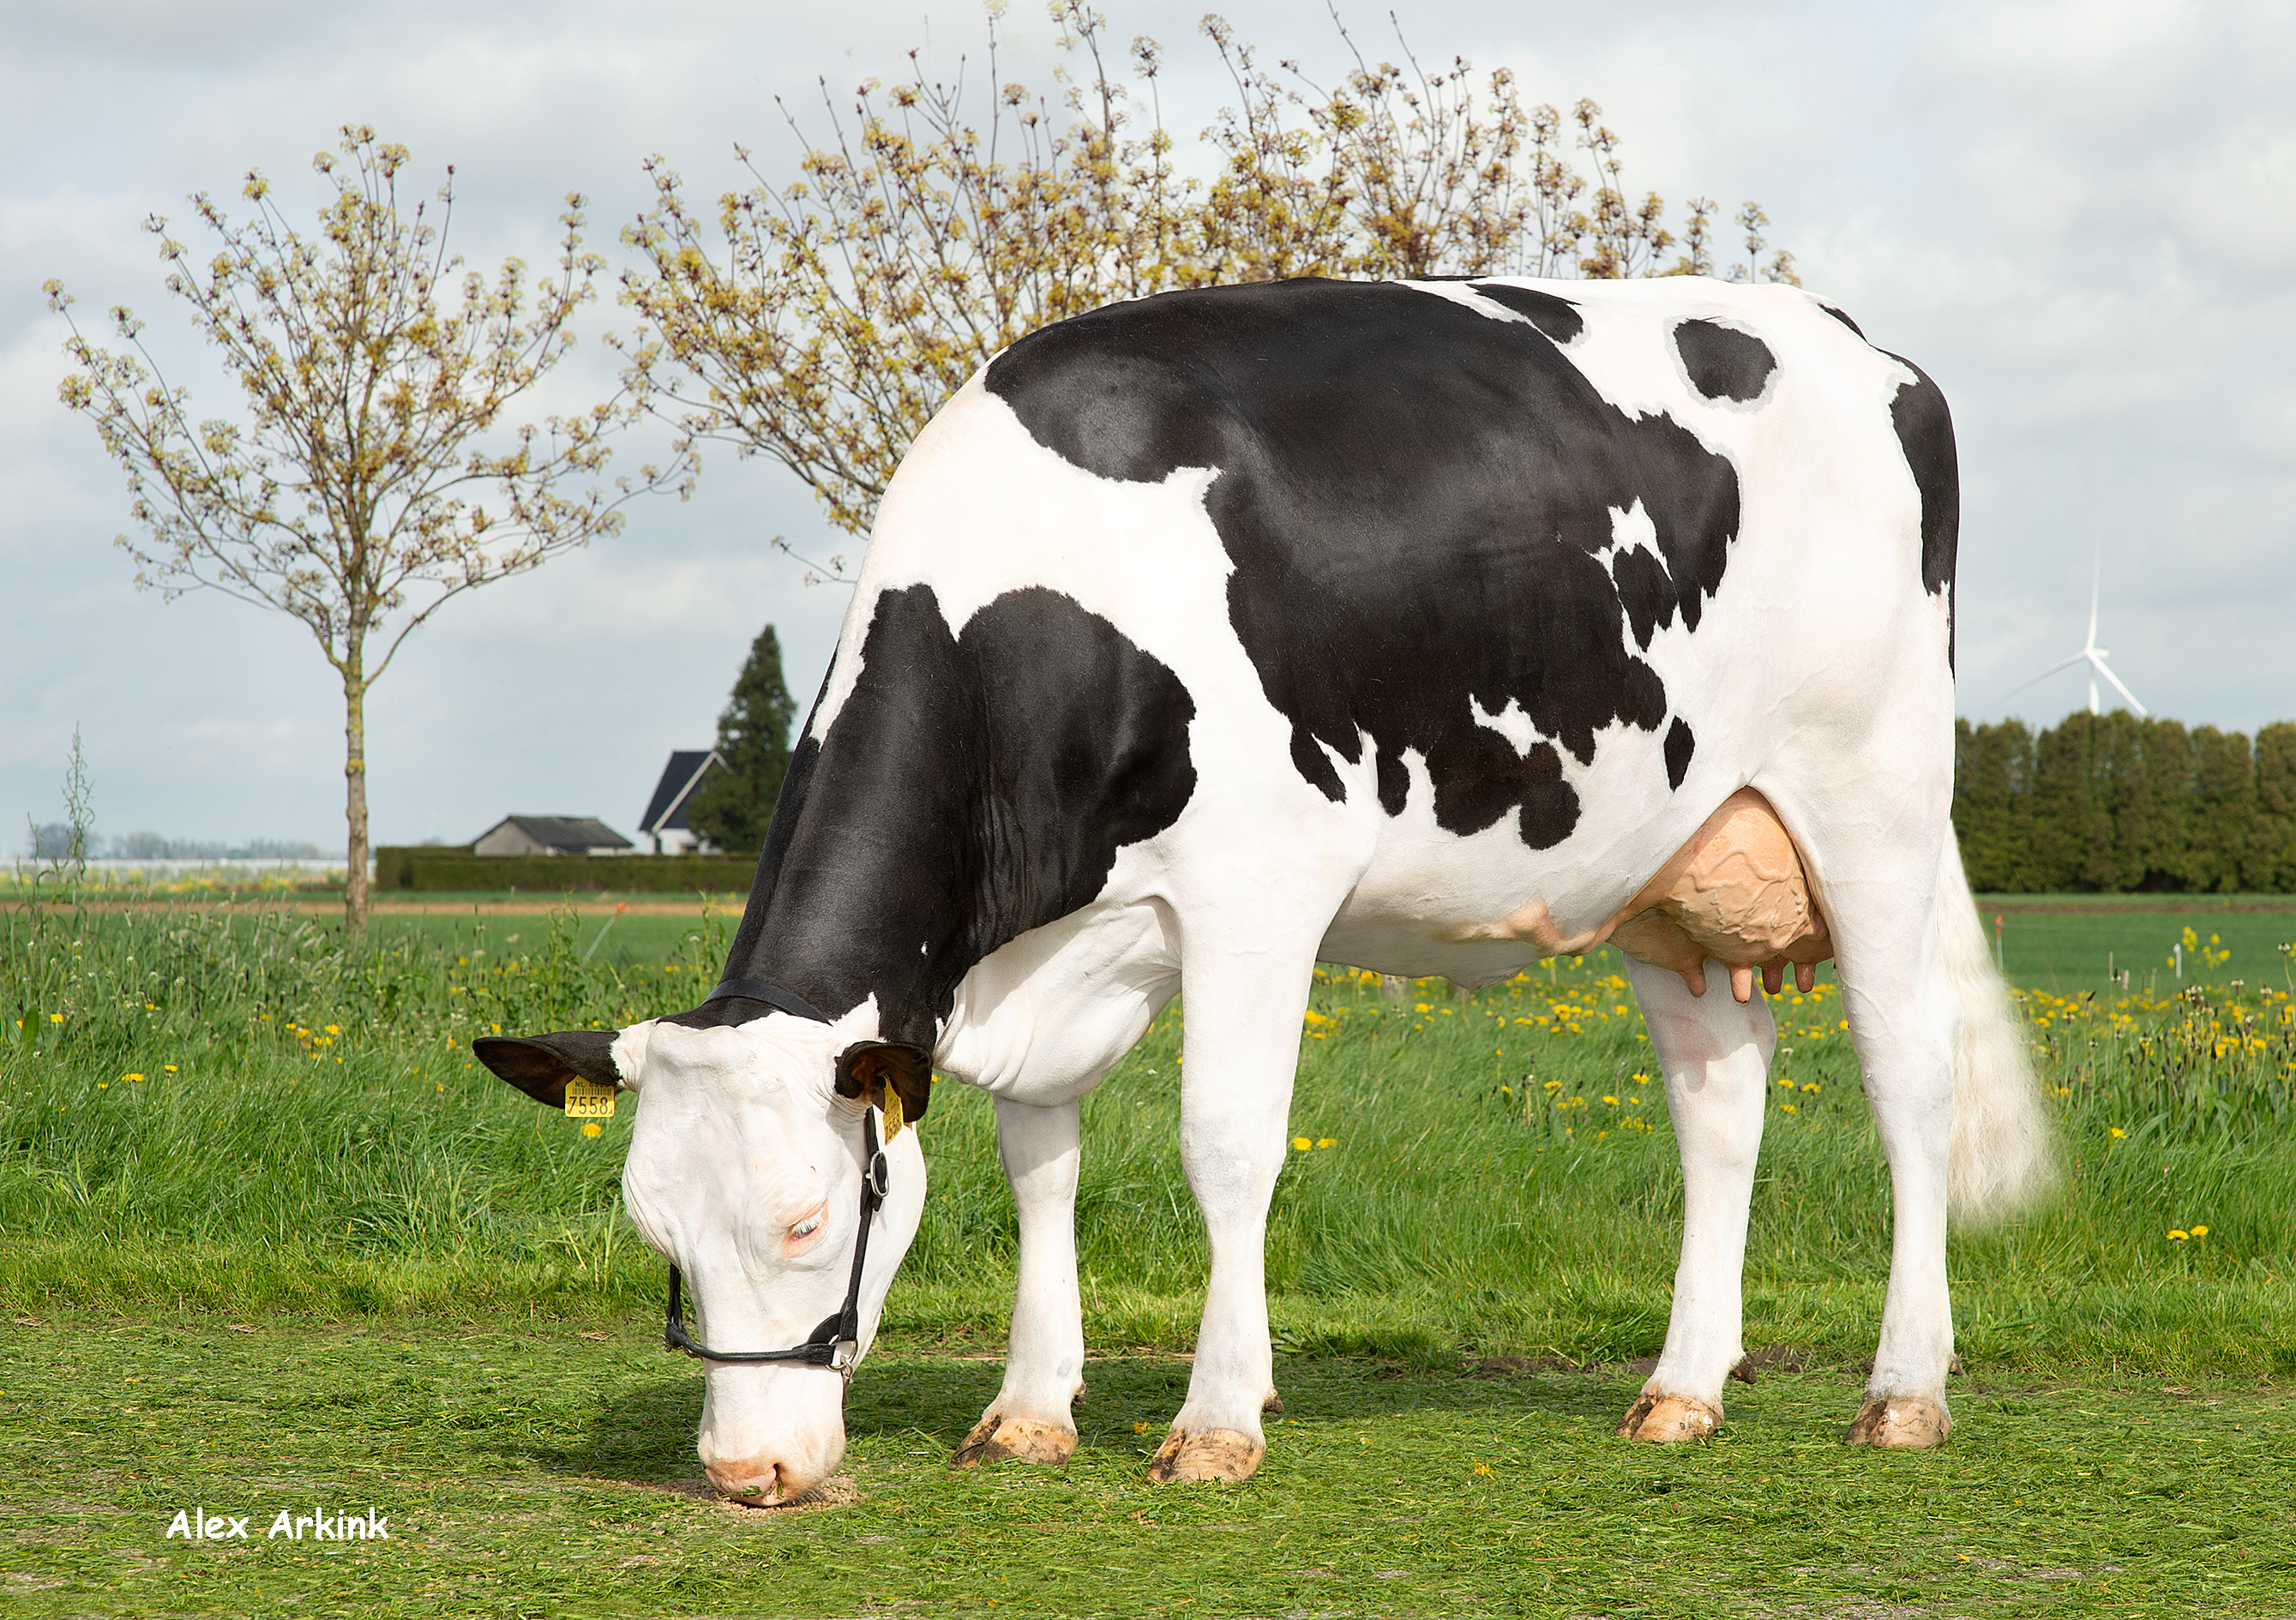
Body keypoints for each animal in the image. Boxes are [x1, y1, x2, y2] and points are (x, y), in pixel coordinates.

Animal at [475, 273, 2057, 1505]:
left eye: (808, 1222)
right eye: (655, 1230)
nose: (747, 1472)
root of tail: (1852, 339)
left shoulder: (1256, 895)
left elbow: (1224, 1146)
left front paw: (1217, 1418)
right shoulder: (1041, 962)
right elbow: (1038, 1162)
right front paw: (1029, 1409)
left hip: (1871, 807)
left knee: (1906, 1081)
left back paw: (1902, 1392)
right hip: (1673, 866)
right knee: (1717, 1105)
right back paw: (1682, 1390)